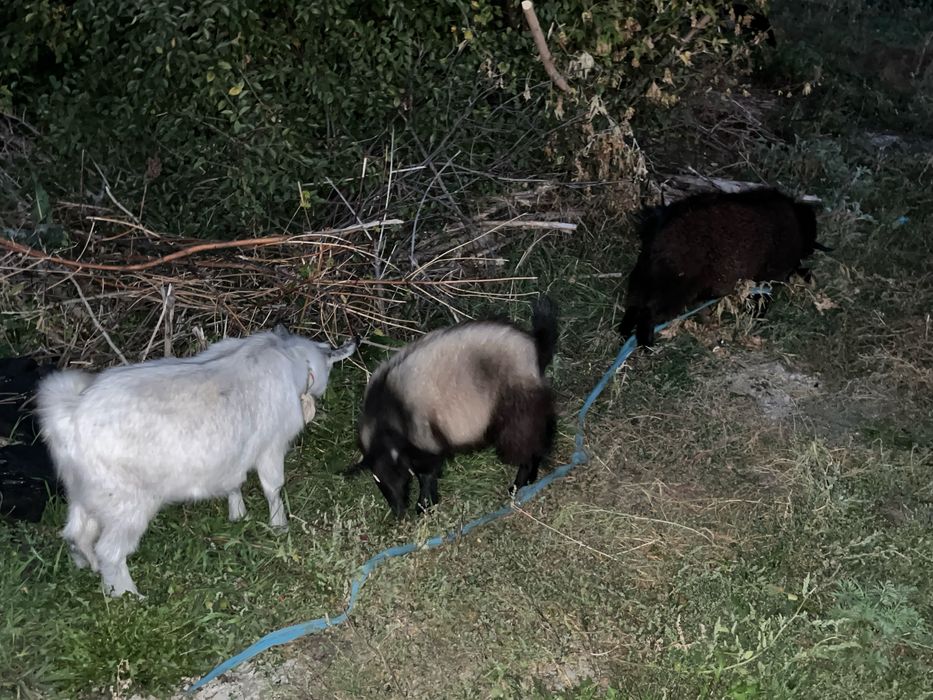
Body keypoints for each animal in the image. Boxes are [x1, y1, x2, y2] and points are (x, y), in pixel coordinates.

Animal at [36, 326, 356, 596]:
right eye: (328, 357)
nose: (351, 344)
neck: (288, 358)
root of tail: (70, 414)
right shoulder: (271, 446)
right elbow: (272, 487)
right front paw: (279, 525)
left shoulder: (232, 456)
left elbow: (234, 482)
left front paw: (237, 513)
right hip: (125, 504)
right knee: (110, 552)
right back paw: (128, 596)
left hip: (84, 493)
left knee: (76, 534)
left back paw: (86, 565)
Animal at [347, 296, 558, 517]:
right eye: (376, 480)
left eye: (394, 473)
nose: (398, 512)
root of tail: (535, 348)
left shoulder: (425, 442)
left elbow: (426, 474)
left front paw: (424, 504)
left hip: (517, 414)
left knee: (528, 447)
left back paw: (519, 484)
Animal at [619, 188, 830, 347]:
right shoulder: (766, 277)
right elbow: (762, 299)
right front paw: (756, 317)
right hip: (675, 284)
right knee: (648, 311)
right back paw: (645, 342)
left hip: (646, 272)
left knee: (634, 302)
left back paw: (625, 331)